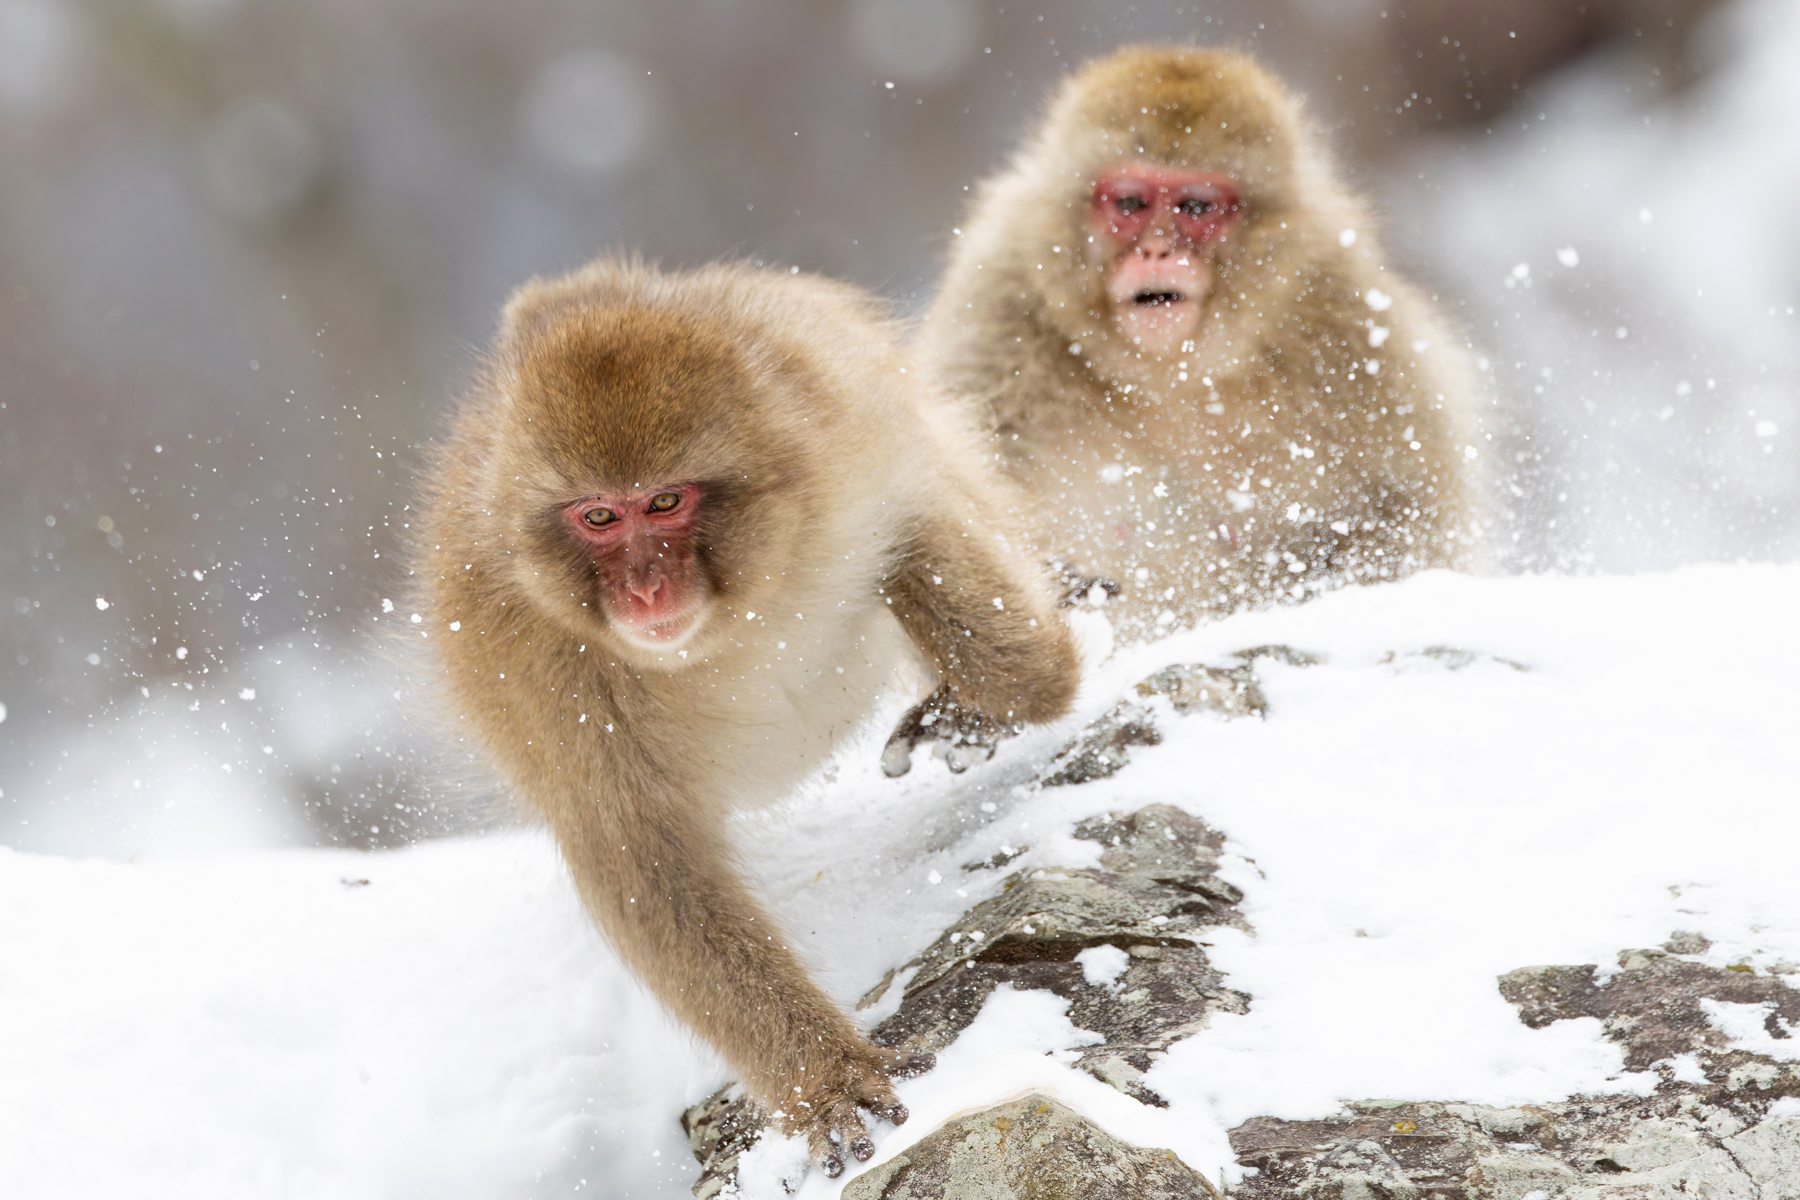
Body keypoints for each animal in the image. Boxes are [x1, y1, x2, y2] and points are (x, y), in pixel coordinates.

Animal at [410, 259, 1080, 1176]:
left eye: (664, 502)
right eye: (598, 516)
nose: (645, 590)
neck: (729, 627)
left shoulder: (846, 436)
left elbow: (946, 562)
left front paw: (986, 701)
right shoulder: (541, 674)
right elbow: (644, 862)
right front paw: (825, 1079)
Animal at [915, 46, 1486, 640]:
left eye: (1194, 207)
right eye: (1130, 203)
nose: (1157, 250)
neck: (1169, 372)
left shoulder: (1356, 326)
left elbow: (1400, 507)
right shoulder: (994, 313)